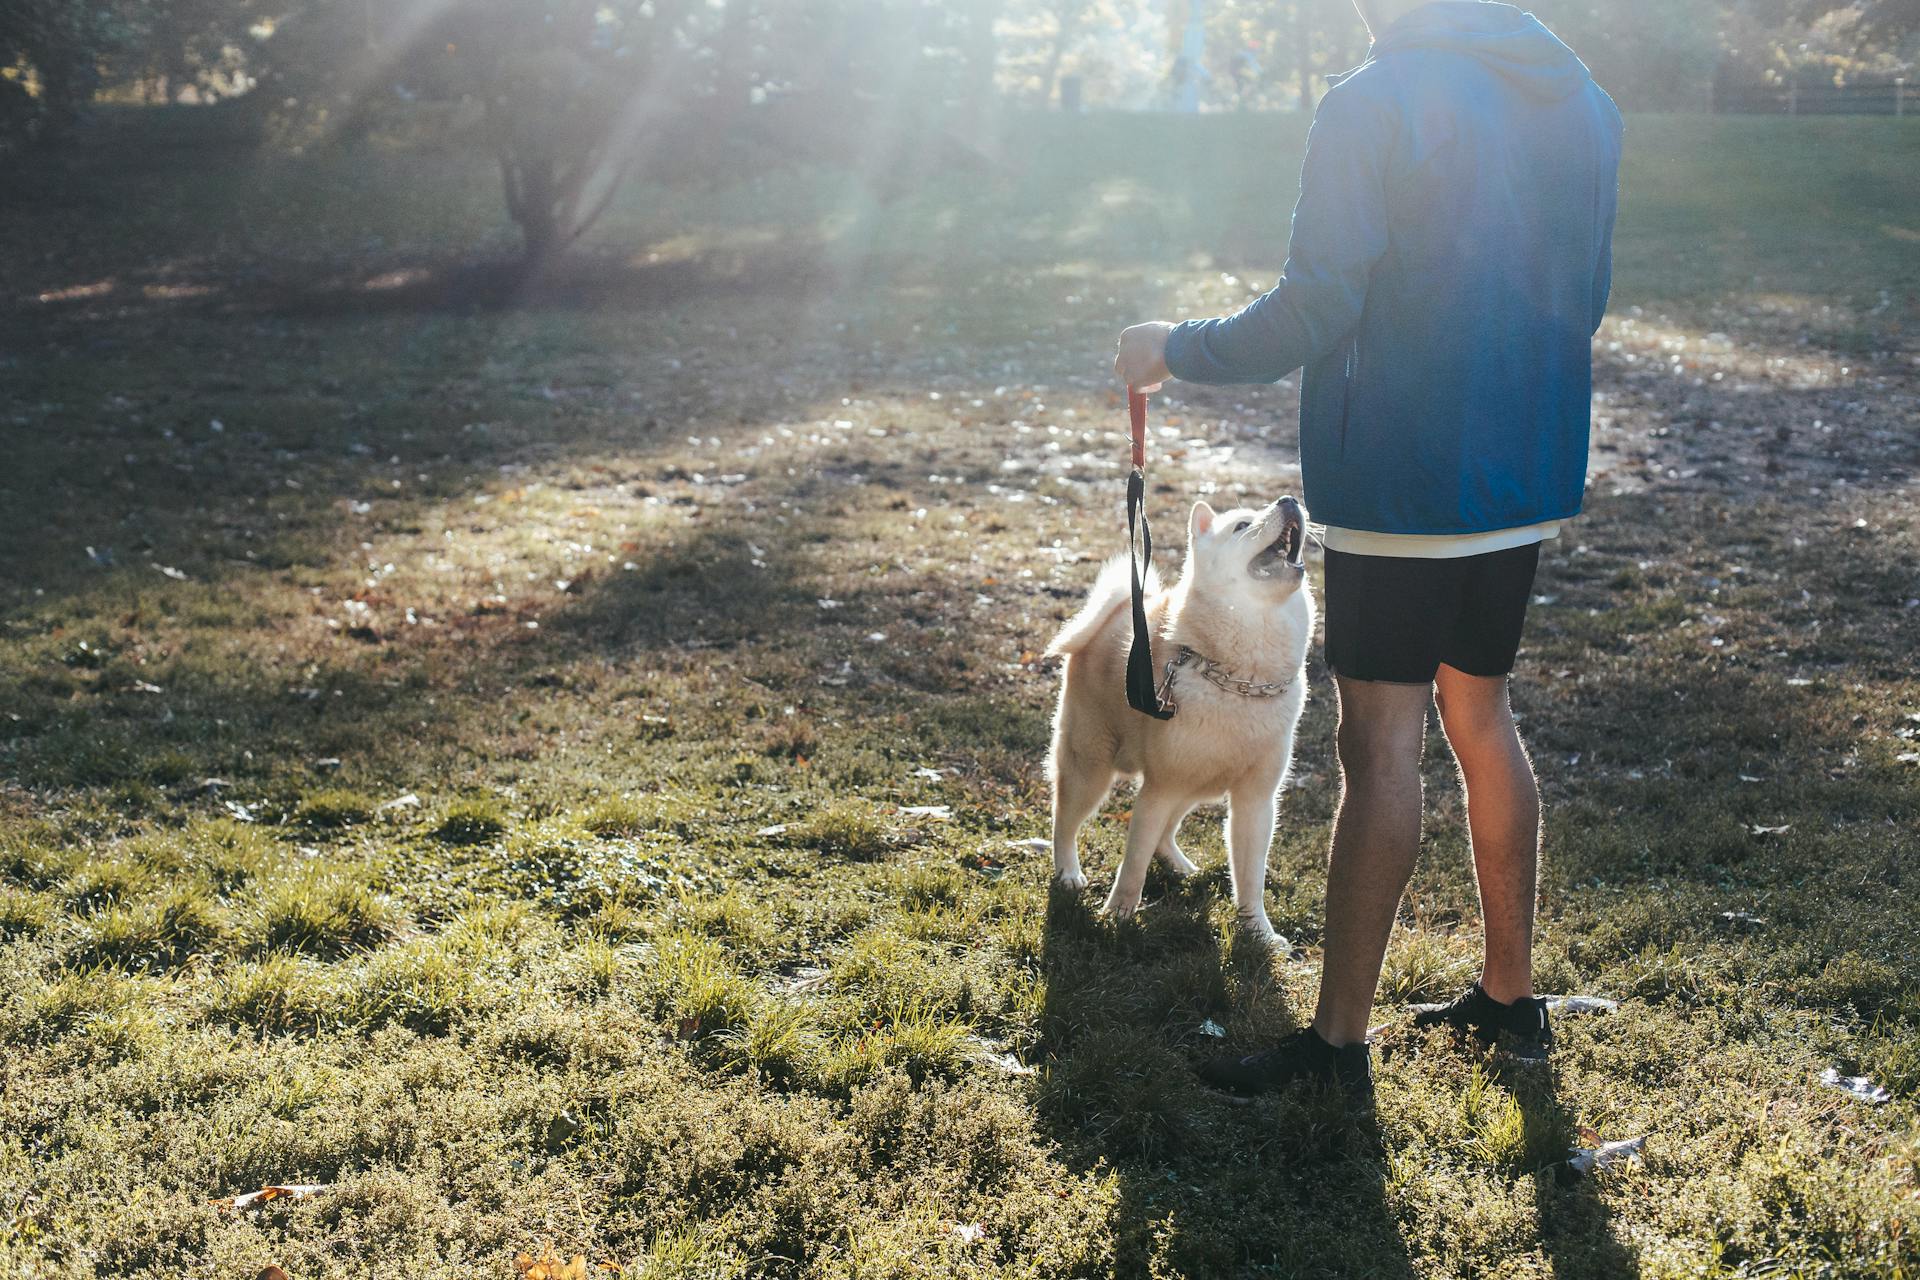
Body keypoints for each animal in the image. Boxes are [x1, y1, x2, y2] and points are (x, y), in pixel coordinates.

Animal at [1044, 495, 1313, 948]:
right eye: (1242, 525)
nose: (1290, 500)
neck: (1242, 678)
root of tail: (1118, 611)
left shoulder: (1255, 803)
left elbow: (1251, 879)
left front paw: (1258, 932)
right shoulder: (1156, 791)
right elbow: (1133, 864)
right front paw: (1117, 916)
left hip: (1196, 785)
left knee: (1167, 833)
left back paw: (1179, 864)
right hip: (1091, 770)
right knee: (1063, 821)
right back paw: (1067, 872)